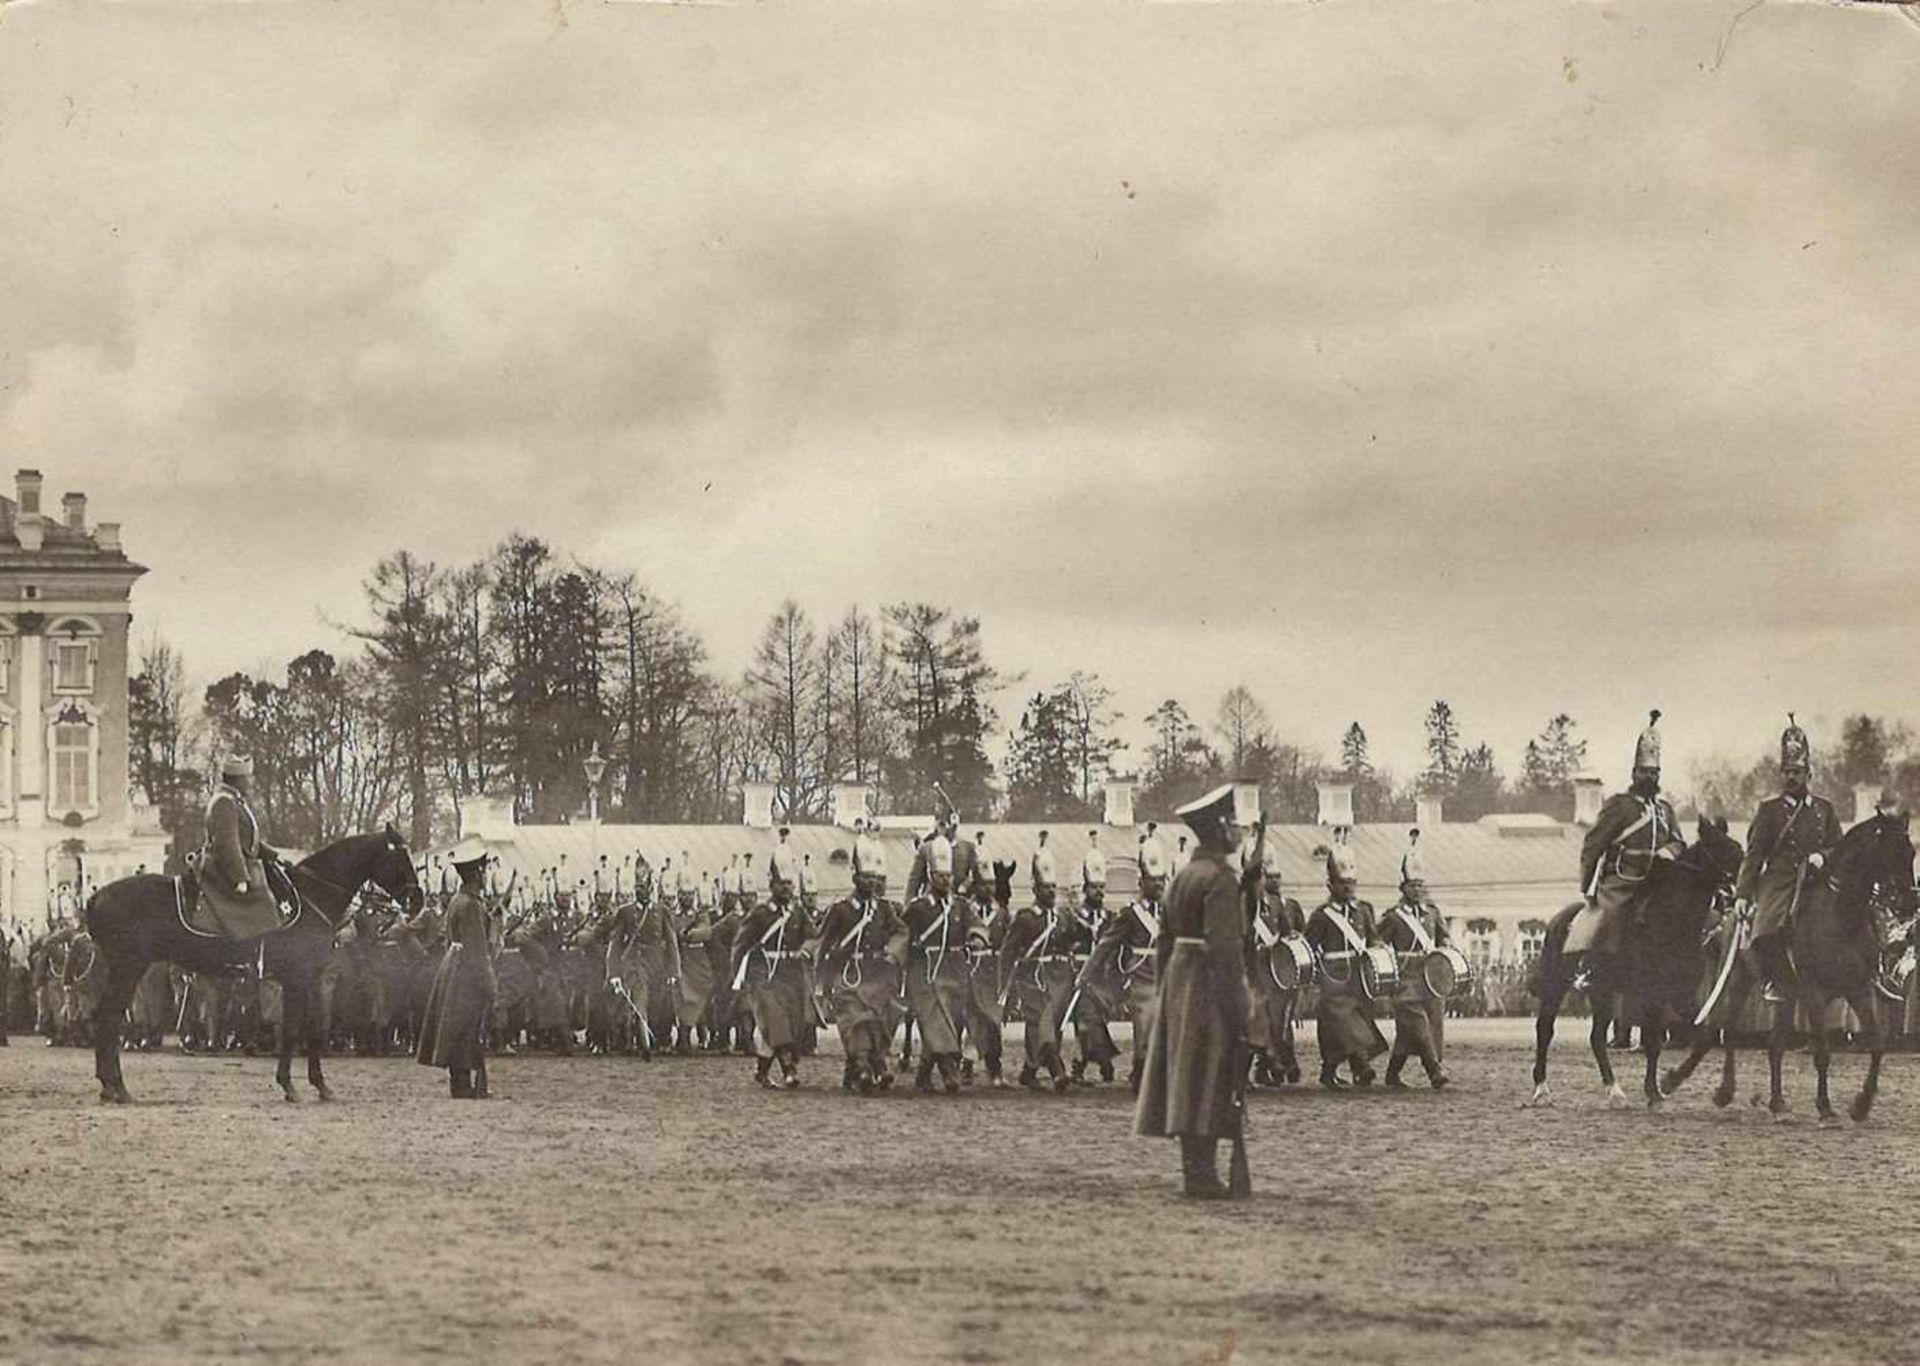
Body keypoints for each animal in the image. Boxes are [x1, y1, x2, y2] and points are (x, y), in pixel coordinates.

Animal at [83, 829, 424, 1106]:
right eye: (400, 856)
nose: (417, 900)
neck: (311, 896)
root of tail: (97, 897)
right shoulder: (298, 978)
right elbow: (294, 1029)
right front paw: (290, 1085)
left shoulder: (312, 979)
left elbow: (314, 1028)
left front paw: (320, 1085)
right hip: (129, 968)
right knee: (109, 1019)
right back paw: (117, 1087)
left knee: (106, 1018)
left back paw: (109, 1087)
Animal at [1520, 818, 1751, 1106]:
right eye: (1721, 847)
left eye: (1738, 848)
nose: (1741, 891)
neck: (1672, 922)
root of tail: (1558, 920)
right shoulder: (1652, 995)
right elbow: (1654, 1042)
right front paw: (1659, 1086)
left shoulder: (1680, 994)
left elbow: (1703, 1034)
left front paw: (1668, 1084)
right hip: (1556, 987)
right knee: (1545, 1030)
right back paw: (1542, 1088)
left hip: (1603, 992)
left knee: (1596, 1038)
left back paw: (1614, 1089)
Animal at [1658, 810, 1912, 1122]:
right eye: (1892, 851)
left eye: (1911, 852)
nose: (1910, 902)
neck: (1840, 917)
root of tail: (1737, 906)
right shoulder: (1815, 993)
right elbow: (1822, 1052)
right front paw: (1825, 1106)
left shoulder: (1859, 989)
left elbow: (1877, 1042)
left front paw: (1861, 1104)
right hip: (1739, 978)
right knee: (1724, 1029)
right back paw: (1708, 1087)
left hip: (1785, 992)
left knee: (1774, 1044)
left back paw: (1776, 1101)